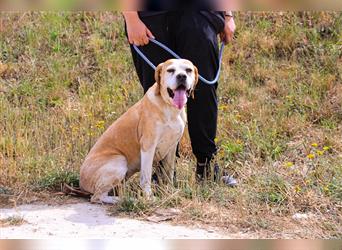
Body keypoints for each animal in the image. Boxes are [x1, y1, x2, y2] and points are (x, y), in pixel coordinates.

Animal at [79, 58, 198, 203]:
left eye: (188, 70)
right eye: (170, 70)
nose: (181, 76)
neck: (170, 108)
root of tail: (81, 181)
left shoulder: (171, 148)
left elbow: (168, 174)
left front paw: (170, 192)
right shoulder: (148, 146)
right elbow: (146, 176)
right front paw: (149, 197)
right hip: (119, 161)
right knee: (97, 197)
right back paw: (127, 200)